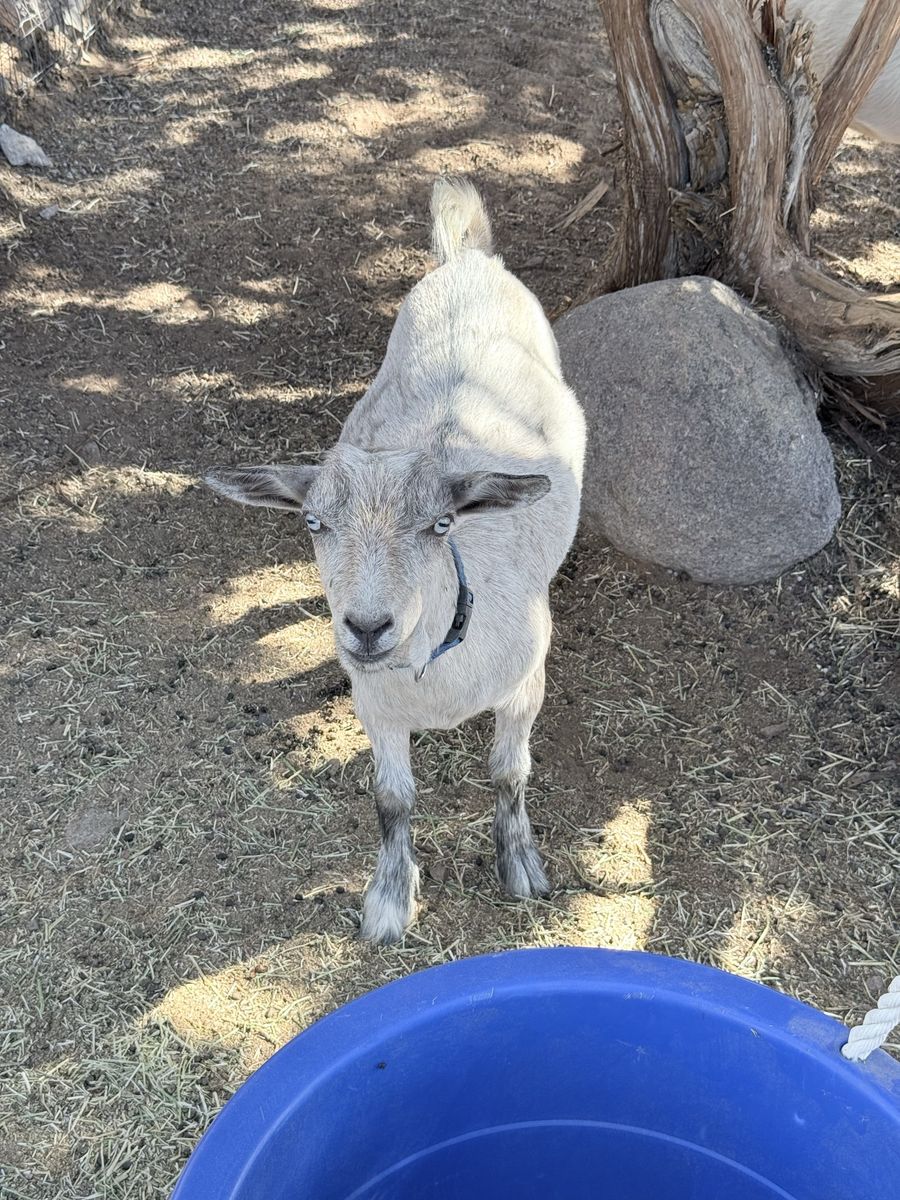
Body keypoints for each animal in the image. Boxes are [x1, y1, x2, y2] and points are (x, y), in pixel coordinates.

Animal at [205, 179, 587, 943]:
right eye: (313, 522)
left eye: (440, 524)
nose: (366, 627)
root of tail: (467, 260)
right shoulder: (375, 707)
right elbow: (392, 799)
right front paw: (388, 900)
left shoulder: (523, 689)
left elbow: (510, 774)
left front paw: (520, 864)